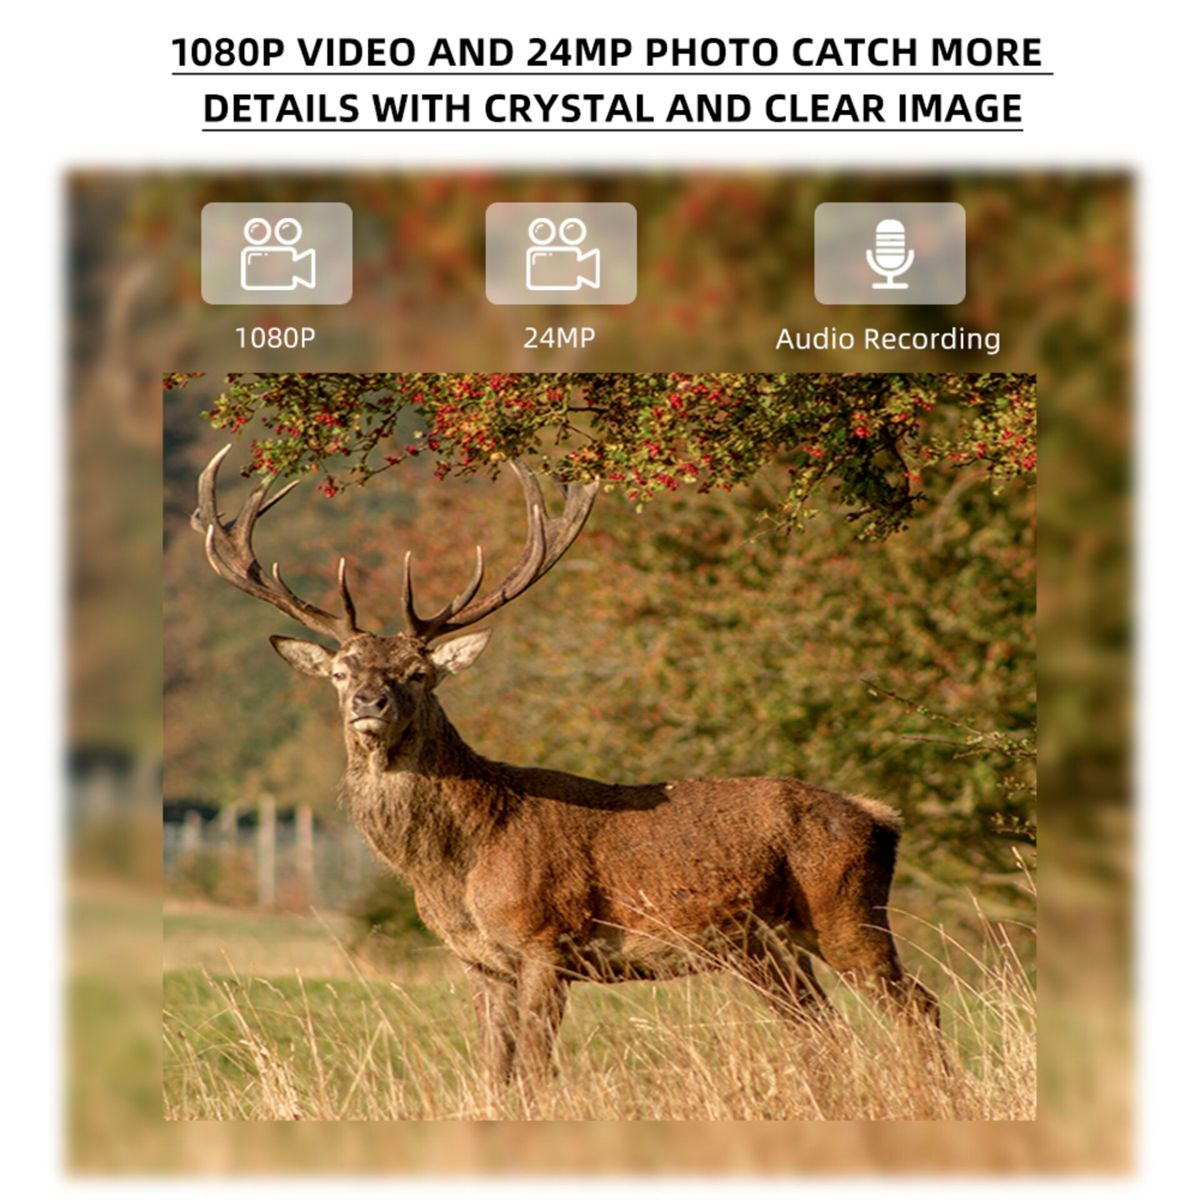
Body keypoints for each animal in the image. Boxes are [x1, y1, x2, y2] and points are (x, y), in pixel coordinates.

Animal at [193, 444, 940, 1091]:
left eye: (418, 673)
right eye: (341, 671)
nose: (369, 702)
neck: (458, 865)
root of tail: (881, 817)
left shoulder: (544, 941)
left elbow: (533, 1071)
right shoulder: (480, 964)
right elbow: (492, 1072)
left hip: (848, 913)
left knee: (918, 1008)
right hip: (765, 947)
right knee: (826, 1031)